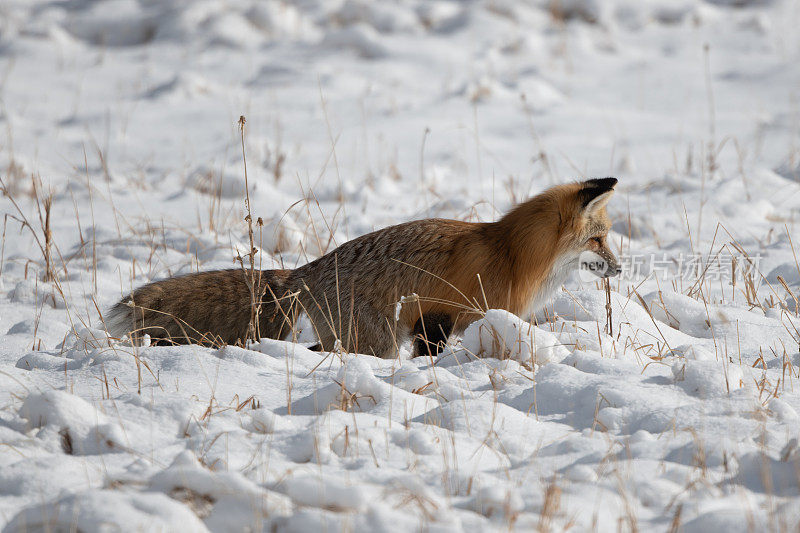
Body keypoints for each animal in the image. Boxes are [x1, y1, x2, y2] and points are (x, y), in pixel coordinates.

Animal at [108, 179, 620, 358]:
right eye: (598, 239)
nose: (619, 269)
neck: (510, 252)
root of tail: (304, 271)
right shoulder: (443, 317)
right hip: (377, 340)